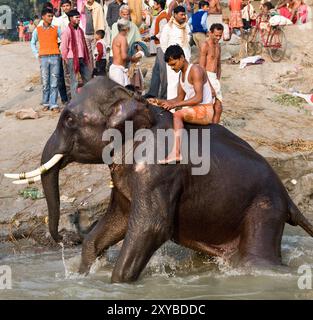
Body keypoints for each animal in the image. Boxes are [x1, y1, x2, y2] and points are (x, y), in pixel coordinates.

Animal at [6, 77, 312, 282]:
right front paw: (84, 277)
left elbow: (151, 227)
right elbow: (115, 222)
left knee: (255, 261)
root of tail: (289, 200)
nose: (63, 237)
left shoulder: (158, 170)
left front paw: (116, 284)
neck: (134, 101)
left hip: (264, 210)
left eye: (69, 119)